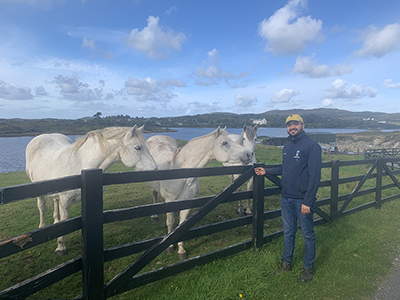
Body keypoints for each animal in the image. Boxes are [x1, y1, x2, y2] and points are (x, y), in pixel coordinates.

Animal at [25, 125, 156, 254]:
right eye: (137, 147)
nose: (155, 169)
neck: (83, 167)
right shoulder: (65, 201)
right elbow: (64, 220)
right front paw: (61, 247)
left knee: (55, 203)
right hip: (37, 187)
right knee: (41, 206)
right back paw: (42, 226)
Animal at [147, 127, 253, 258]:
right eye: (224, 143)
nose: (249, 154)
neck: (180, 173)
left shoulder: (187, 203)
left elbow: (181, 225)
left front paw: (181, 250)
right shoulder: (169, 201)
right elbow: (170, 223)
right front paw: (170, 247)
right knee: (154, 194)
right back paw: (154, 216)